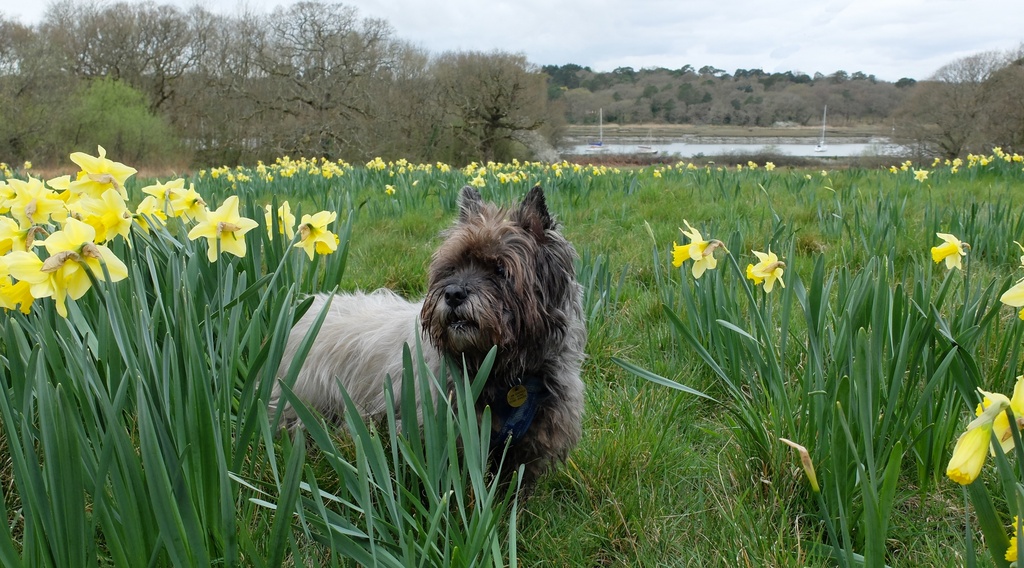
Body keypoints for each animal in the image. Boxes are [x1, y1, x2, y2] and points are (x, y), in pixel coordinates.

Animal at [272, 185, 589, 489]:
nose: (453, 294)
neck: (502, 372)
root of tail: (306, 307)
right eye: (452, 268)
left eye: (500, 269)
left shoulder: (527, 448)